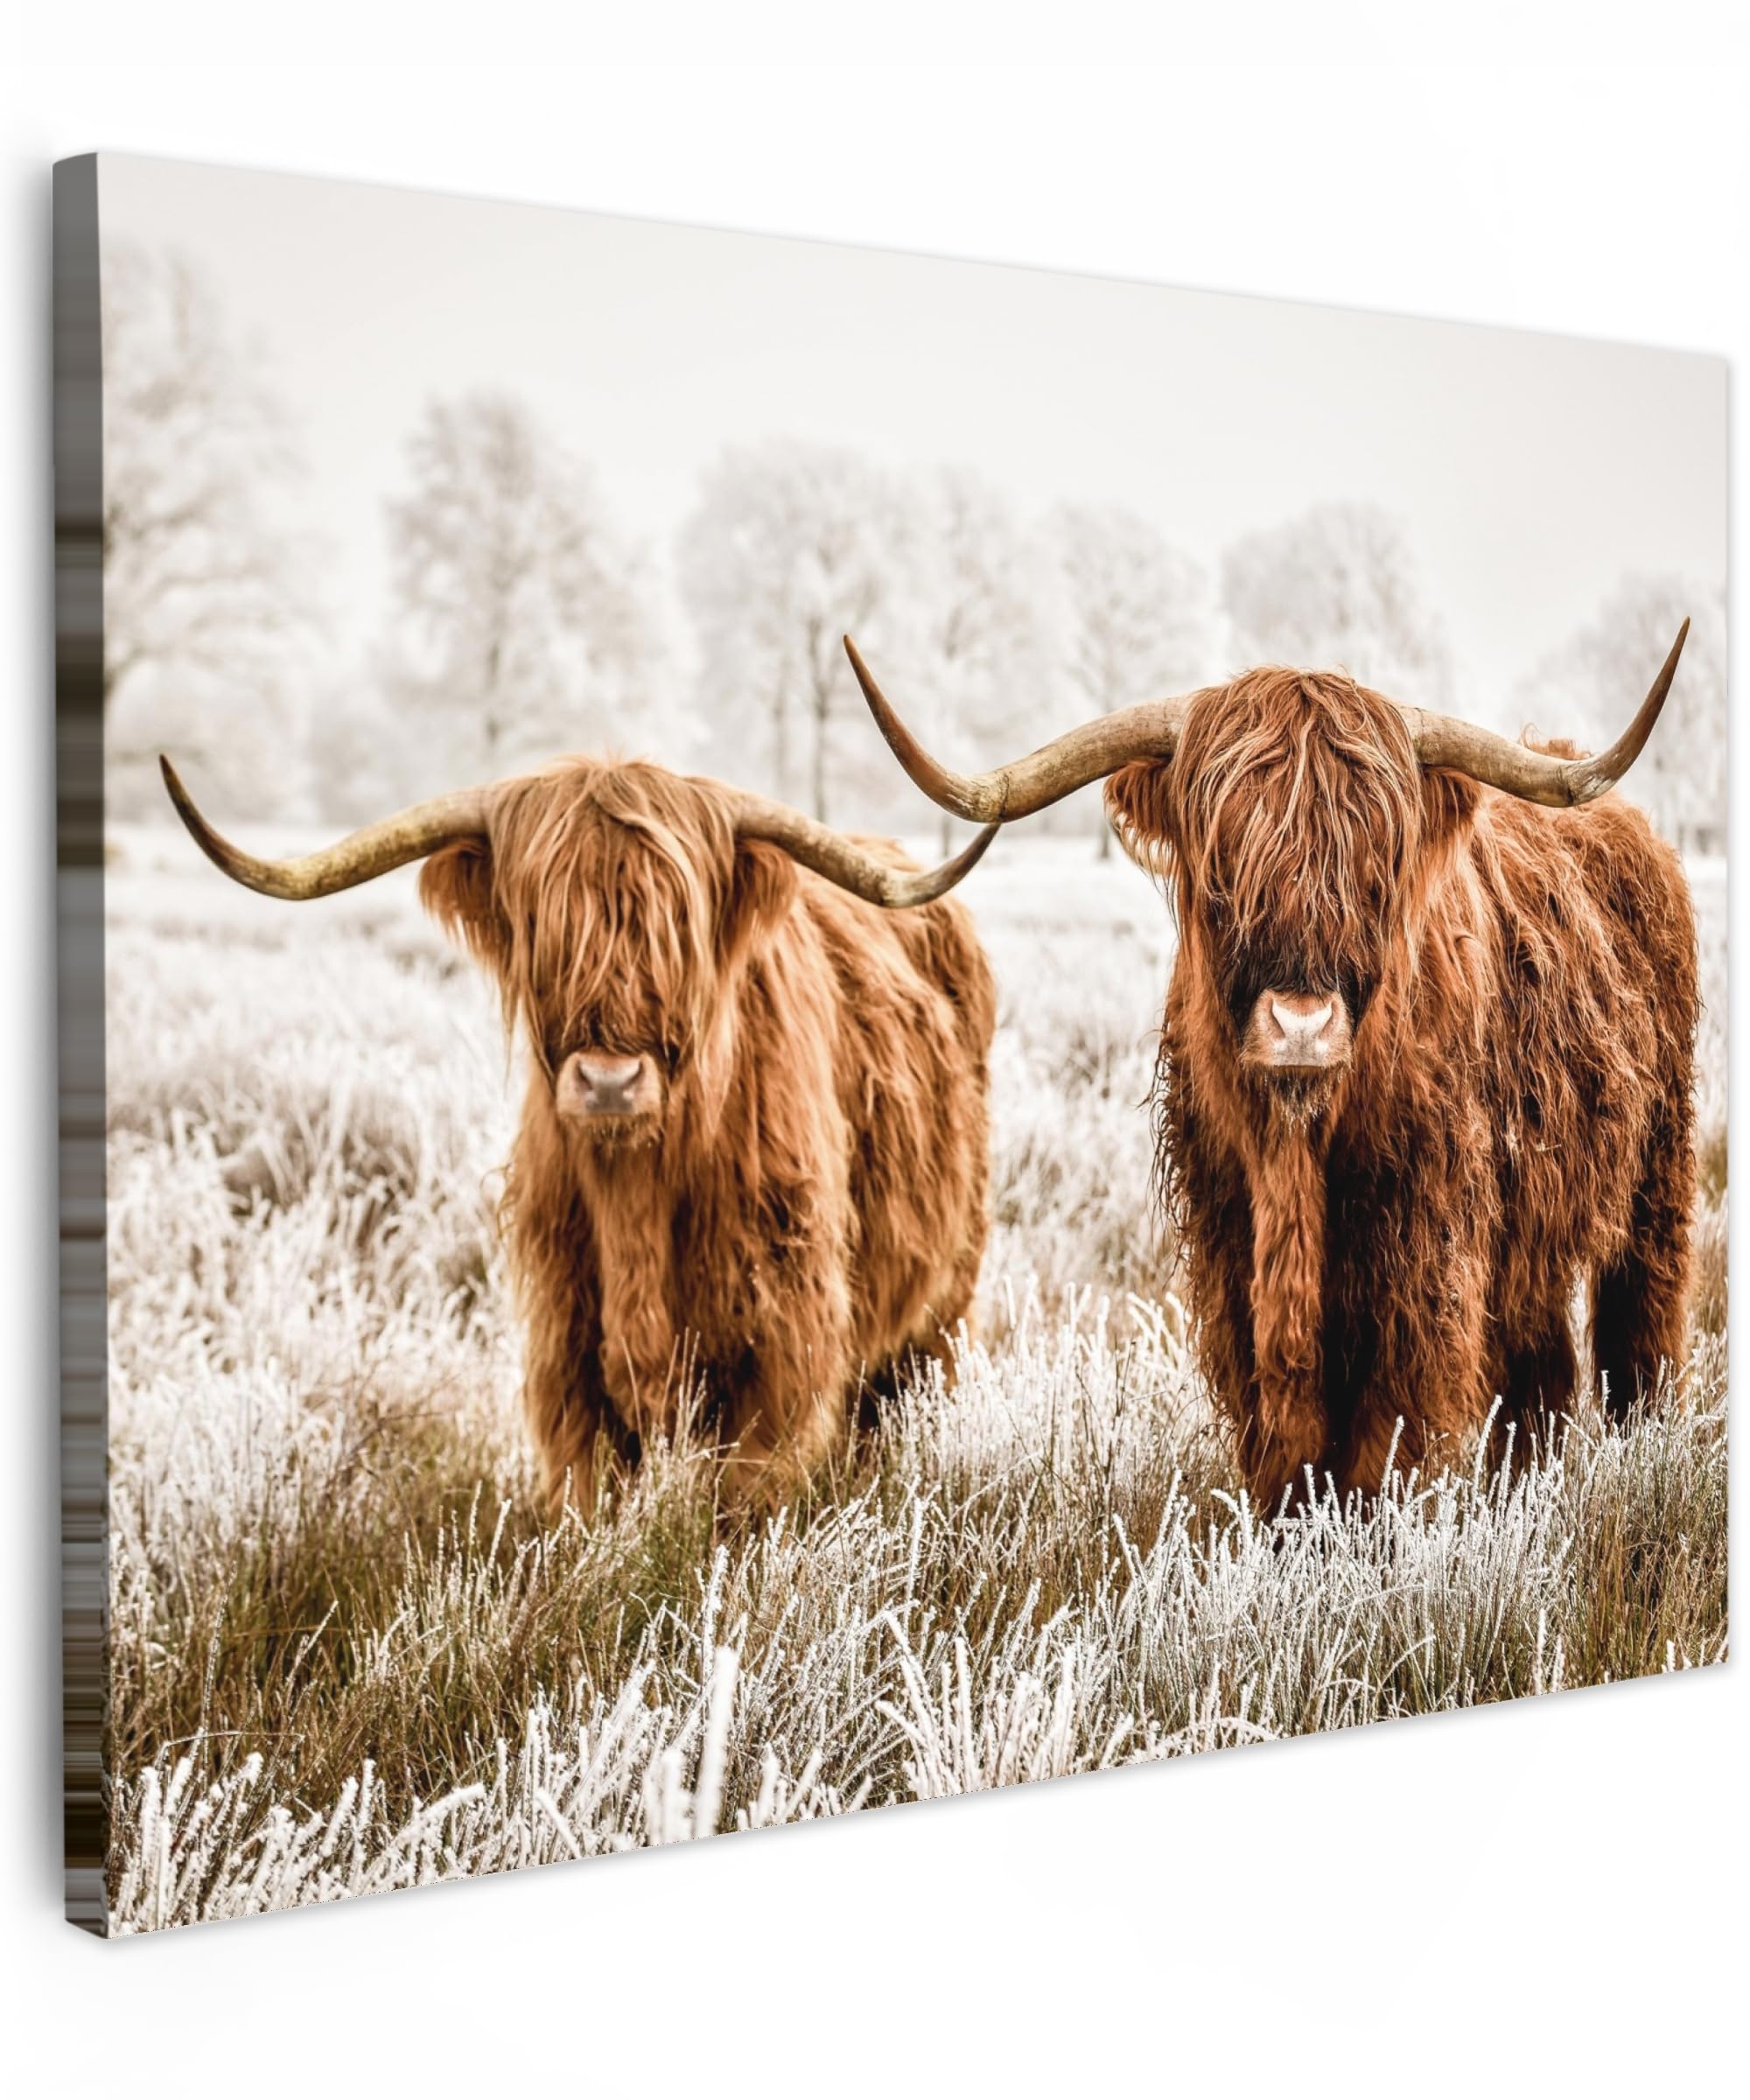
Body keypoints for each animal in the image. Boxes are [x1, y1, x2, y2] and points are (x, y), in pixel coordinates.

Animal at [161, 754, 999, 1514]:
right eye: (542, 924)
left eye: (677, 926)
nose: (608, 1081)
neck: (637, 1195)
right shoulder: (566, 1347)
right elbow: (587, 1498)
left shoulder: (783, 1341)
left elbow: (747, 1499)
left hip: (944, 1301)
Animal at [846, 625, 1699, 1509]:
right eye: (1224, 867)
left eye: (1375, 869)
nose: (1301, 1025)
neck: (1296, 1149)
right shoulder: (1231, 1250)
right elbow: (1281, 1434)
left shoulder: (1423, 1253)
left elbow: (1388, 1432)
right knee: (1541, 1363)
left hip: (1659, 1169)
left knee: (1642, 1321)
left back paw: (1640, 1446)